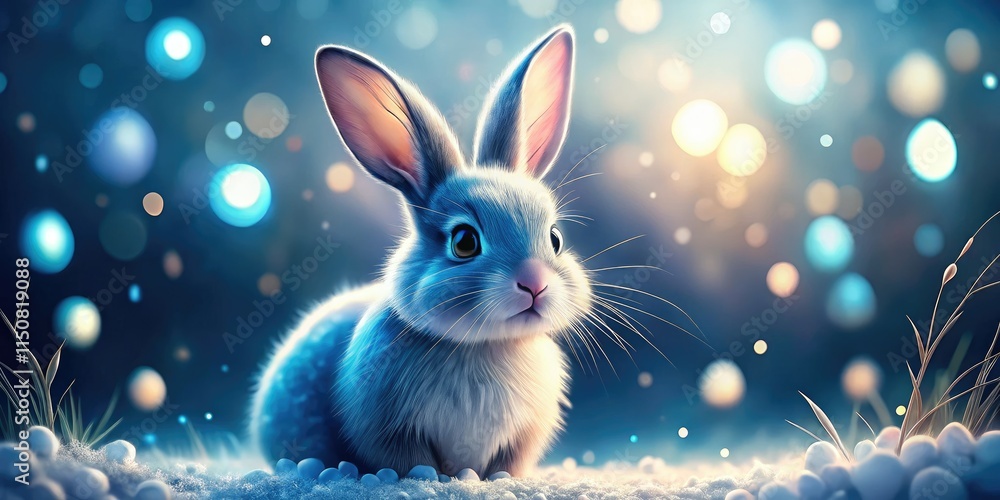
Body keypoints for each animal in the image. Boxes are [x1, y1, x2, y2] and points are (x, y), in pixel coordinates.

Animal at [249, 24, 593, 478]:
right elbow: (411, 462)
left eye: (554, 238)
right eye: (464, 241)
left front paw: (498, 481)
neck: (483, 345)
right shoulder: (386, 427)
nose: (534, 283)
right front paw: (435, 480)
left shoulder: (523, 437)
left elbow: (507, 464)